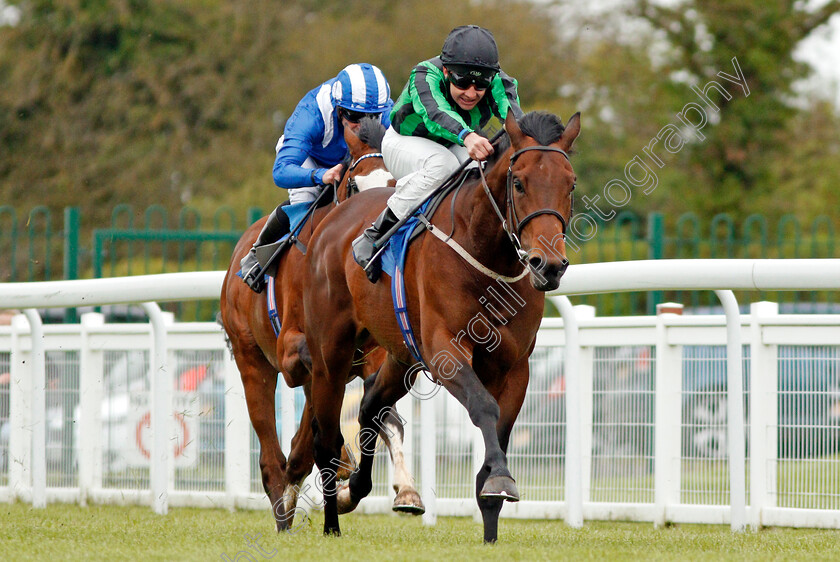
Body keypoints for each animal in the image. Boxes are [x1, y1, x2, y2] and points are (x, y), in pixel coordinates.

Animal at [304, 107, 584, 540]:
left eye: (570, 185)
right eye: (518, 183)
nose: (548, 265)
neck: (486, 255)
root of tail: (332, 221)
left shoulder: (515, 365)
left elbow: (499, 432)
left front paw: (491, 521)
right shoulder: (445, 352)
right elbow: (484, 407)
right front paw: (501, 480)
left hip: (400, 355)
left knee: (370, 406)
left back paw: (361, 490)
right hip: (330, 356)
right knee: (327, 440)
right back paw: (332, 522)